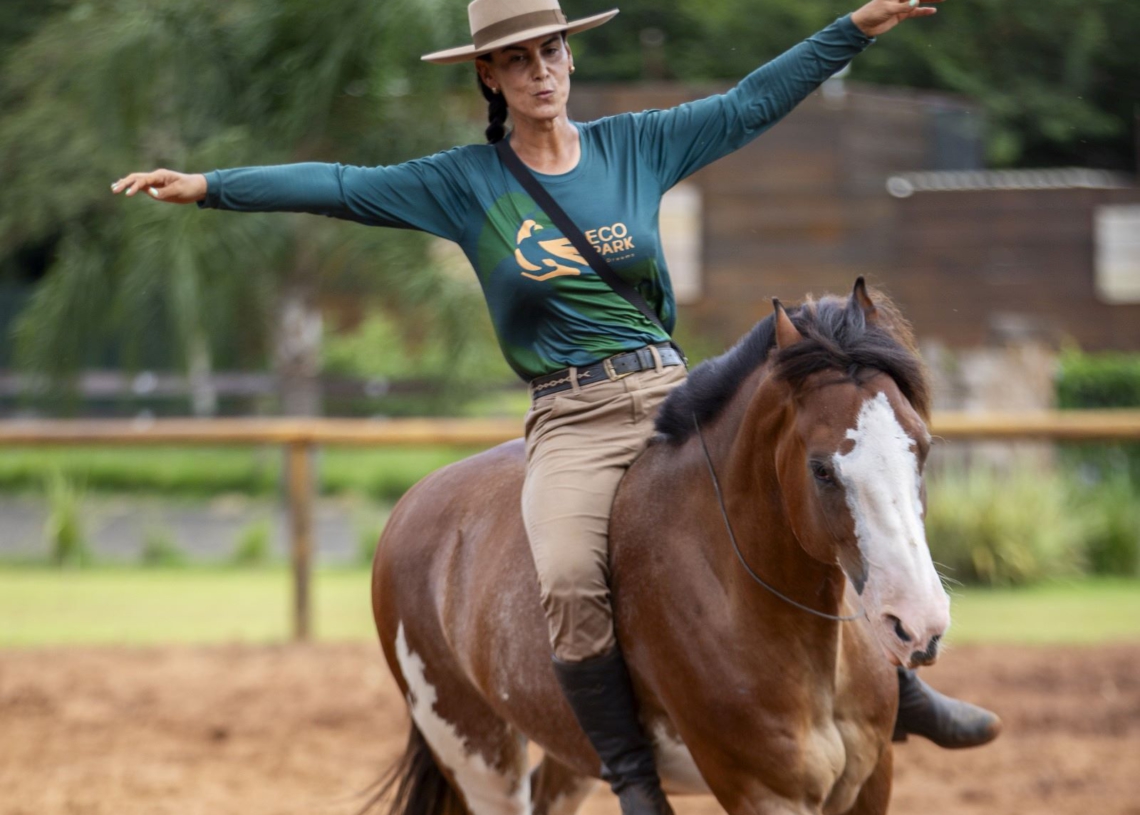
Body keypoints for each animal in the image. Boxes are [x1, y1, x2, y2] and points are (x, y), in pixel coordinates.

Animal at [369, 280, 948, 815]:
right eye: (821, 468)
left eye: (921, 447)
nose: (917, 623)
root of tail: (413, 501)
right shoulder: (766, 794)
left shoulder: (871, 781)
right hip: (472, 750)